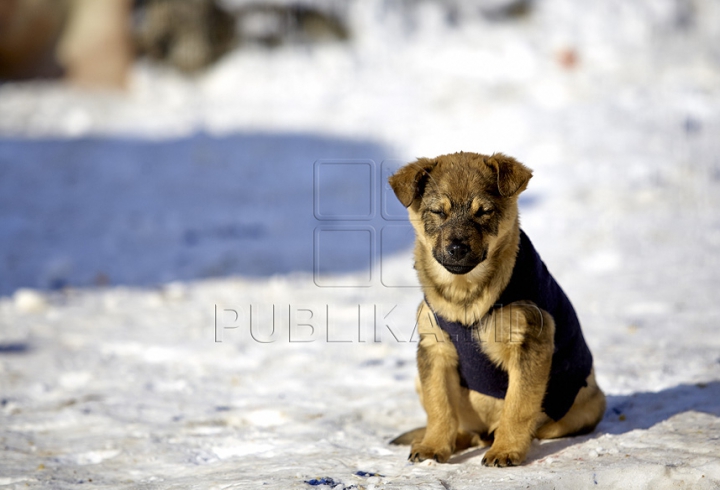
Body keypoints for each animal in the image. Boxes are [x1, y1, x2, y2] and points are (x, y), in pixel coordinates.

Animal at [388, 151, 608, 466]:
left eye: (484, 212)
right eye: (438, 212)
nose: (457, 249)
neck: (465, 296)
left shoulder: (529, 342)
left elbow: (518, 407)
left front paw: (506, 451)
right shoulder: (434, 348)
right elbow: (439, 407)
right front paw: (433, 446)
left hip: (585, 406)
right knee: (464, 427)